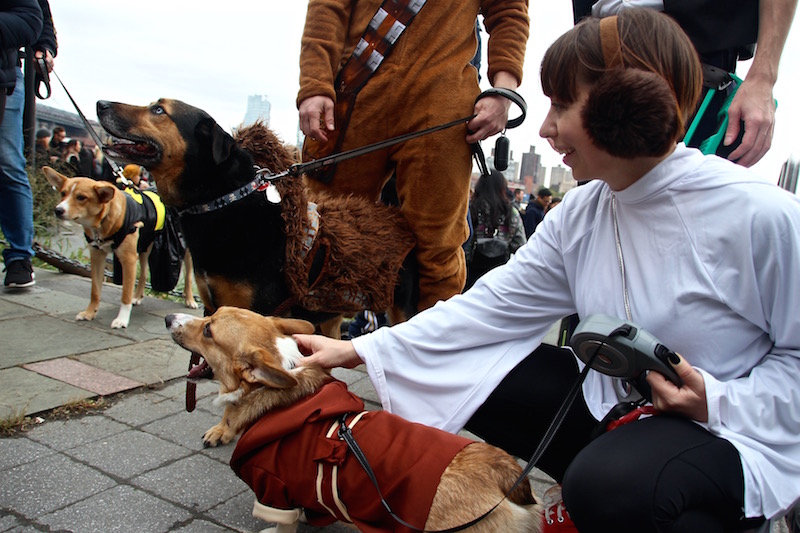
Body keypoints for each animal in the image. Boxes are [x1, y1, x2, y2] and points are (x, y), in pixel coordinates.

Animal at [44, 166, 197, 326]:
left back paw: (189, 299)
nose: (58, 210)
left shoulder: (128, 259)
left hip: (185, 251)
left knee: (188, 276)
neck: (104, 220)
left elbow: (125, 293)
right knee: (143, 273)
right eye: (63, 193)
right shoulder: (97, 257)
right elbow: (95, 291)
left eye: (81, 197)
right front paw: (90, 312)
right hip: (144, 247)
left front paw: (122, 319)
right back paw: (138, 296)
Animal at [97, 97, 416, 334]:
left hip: (402, 307)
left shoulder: (258, 315)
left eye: (159, 110)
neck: (224, 201)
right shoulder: (214, 306)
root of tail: (397, 217)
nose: (101, 104)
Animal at [167, 306, 544, 532]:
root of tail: (507, 476)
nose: (169, 317)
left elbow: (283, 524)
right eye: (211, 313)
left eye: (209, 330)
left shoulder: (274, 490)